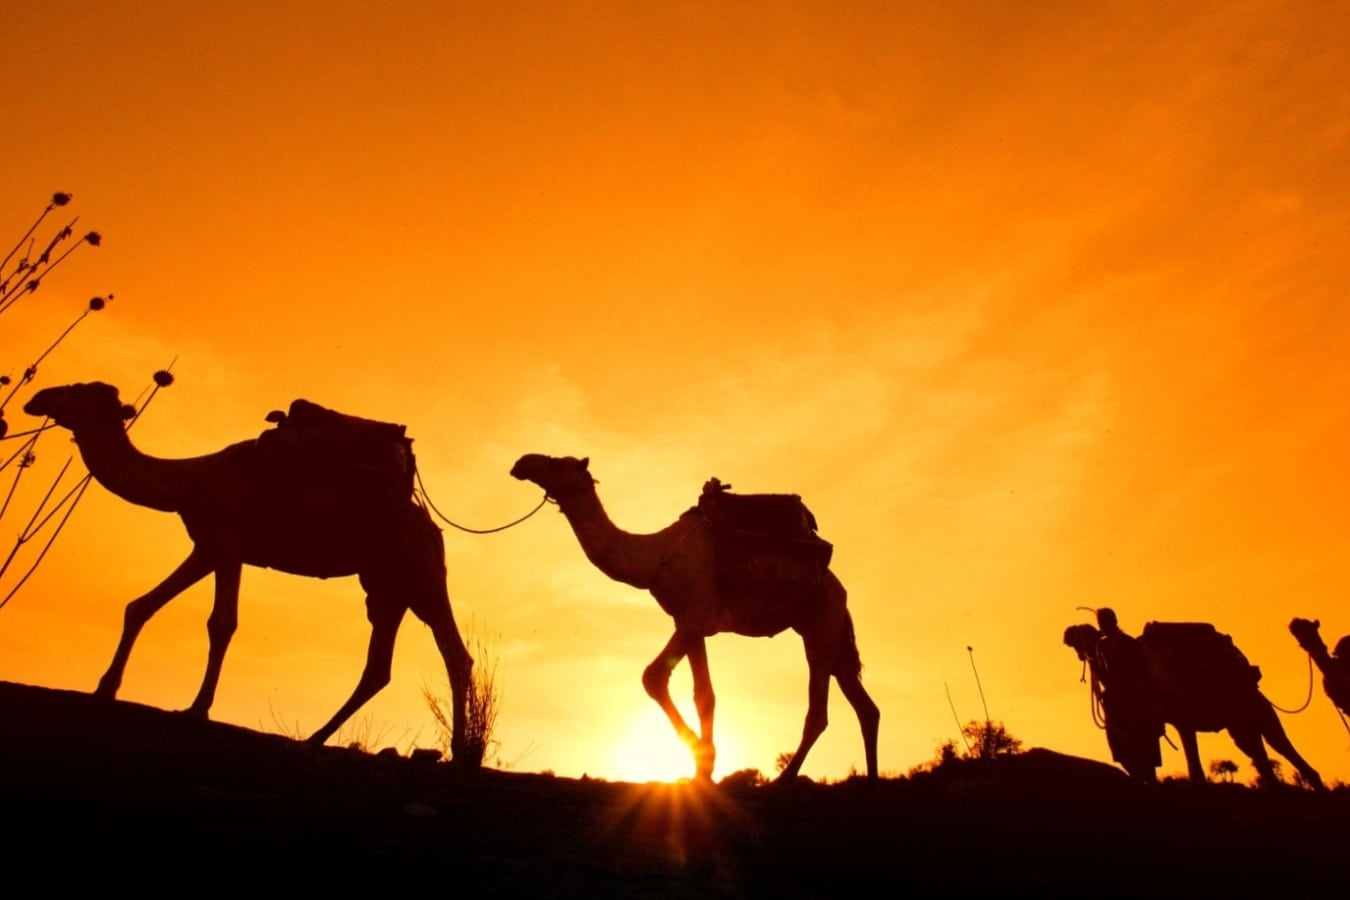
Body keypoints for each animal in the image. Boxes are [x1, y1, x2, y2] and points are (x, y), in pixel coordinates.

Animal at [23, 382, 477, 760]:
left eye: (77, 391)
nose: (38, 398)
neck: (188, 480)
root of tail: (433, 528)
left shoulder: (228, 539)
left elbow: (222, 622)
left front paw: (197, 709)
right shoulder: (205, 547)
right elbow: (141, 606)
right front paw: (104, 688)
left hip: (420, 572)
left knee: (455, 654)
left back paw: (459, 752)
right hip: (386, 584)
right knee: (379, 664)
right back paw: (316, 736)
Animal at [510, 454, 879, 783]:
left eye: (558, 462)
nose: (522, 463)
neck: (655, 555)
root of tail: (840, 590)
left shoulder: (692, 618)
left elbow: (653, 677)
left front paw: (704, 762)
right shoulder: (691, 623)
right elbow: (704, 695)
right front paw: (703, 769)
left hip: (821, 624)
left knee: (819, 711)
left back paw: (785, 780)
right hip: (830, 633)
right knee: (865, 706)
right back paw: (871, 781)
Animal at [1064, 620, 1323, 789]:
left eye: (1086, 632)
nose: (1067, 633)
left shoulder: (1182, 719)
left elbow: (1195, 771)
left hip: (1252, 706)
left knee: (1279, 745)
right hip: (1240, 721)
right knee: (1262, 756)